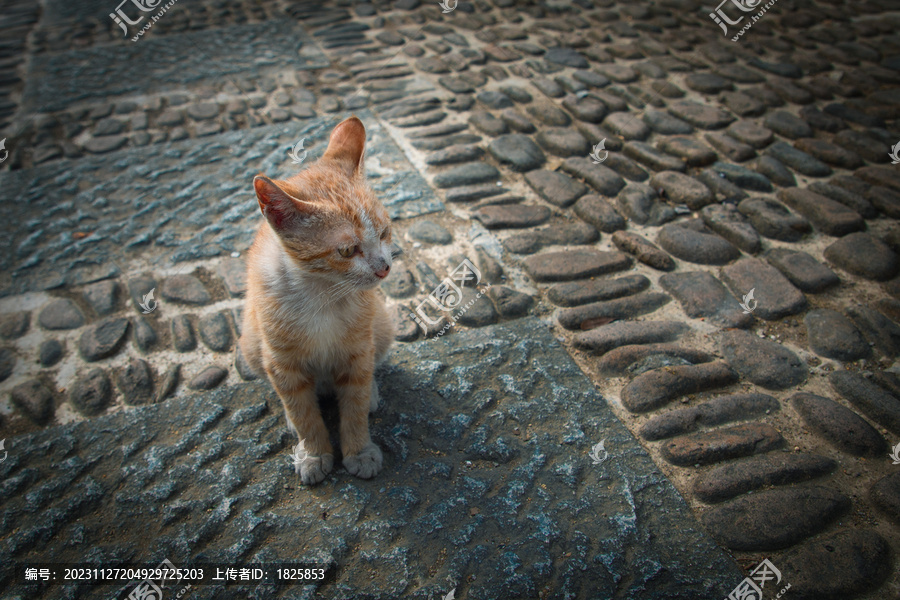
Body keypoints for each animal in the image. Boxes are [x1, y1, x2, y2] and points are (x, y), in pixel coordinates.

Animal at [239, 116, 394, 482]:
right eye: (347, 251)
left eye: (384, 233)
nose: (384, 268)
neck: (322, 292)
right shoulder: (280, 362)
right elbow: (303, 412)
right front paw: (313, 453)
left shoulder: (357, 352)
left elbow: (354, 404)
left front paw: (359, 450)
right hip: (250, 344)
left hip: (381, 325)